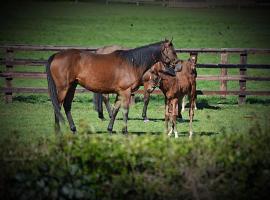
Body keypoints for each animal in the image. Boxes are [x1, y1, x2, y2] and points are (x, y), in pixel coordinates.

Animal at [46, 39, 179, 134]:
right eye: (173, 51)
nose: (178, 66)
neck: (132, 63)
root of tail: (56, 55)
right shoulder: (126, 92)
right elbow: (125, 111)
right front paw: (125, 132)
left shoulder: (120, 93)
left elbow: (115, 111)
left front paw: (110, 129)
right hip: (63, 88)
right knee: (57, 106)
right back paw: (58, 131)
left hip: (72, 87)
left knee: (67, 106)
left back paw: (73, 129)